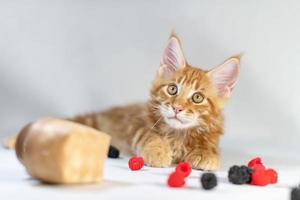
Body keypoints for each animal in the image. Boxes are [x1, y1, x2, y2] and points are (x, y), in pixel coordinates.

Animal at [69, 33, 239, 170]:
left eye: (197, 98)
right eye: (172, 89)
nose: (177, 108)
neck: (177, 135)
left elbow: (210, 144)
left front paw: (205, 153)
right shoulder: (136, 123)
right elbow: (149, 135)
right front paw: (158, 151)